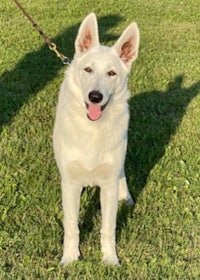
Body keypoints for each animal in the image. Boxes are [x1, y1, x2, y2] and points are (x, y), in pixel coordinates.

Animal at [53, 12, 139, 264]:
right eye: (88, 70)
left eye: (111, 73)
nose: (95, 97)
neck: (93, 129)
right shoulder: (70, 183)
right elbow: (72, 227)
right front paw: (70, 260)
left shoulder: (108, 185)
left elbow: (108, 228)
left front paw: (110, 260)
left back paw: (126, 197)